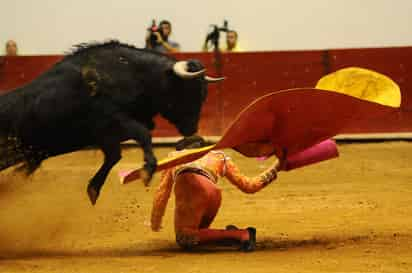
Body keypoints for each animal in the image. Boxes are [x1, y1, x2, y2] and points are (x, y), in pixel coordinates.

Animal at [0, 41, 224, 204]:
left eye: (203, 94)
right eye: (187, 91)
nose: (192, 132)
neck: (134, 75)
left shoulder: (108, 134)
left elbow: (115, 155)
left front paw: (93, 189)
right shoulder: (112, 121)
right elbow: (142, 134)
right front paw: (147, 170)